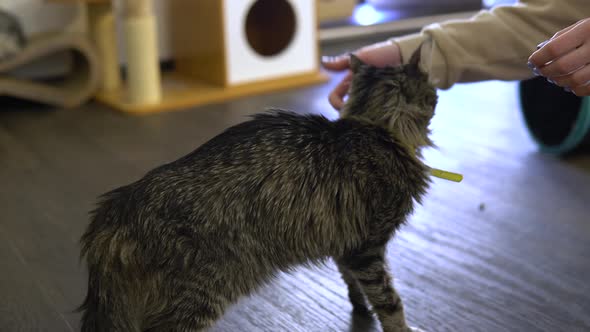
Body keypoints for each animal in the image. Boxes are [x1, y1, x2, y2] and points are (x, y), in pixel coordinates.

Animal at [78, 46, 440, 332]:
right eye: (433, 94)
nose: (437, 94)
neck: (375, 127)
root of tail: (117, 207)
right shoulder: (368, 247)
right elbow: (390, 302)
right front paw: (401, 327)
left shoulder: (346, 244)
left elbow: (355, 286)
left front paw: (361, 309)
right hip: (200, 294)